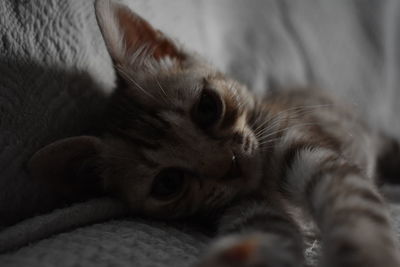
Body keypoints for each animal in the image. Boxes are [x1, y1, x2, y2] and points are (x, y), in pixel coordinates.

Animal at [29, 0, 400, 267]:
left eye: (207, 107)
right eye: (168, 182)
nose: (230, 163)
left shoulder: (313, 153)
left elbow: (353, 207)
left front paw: (366, 253)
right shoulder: (249, 209)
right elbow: (269, 234)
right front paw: (241, 256)